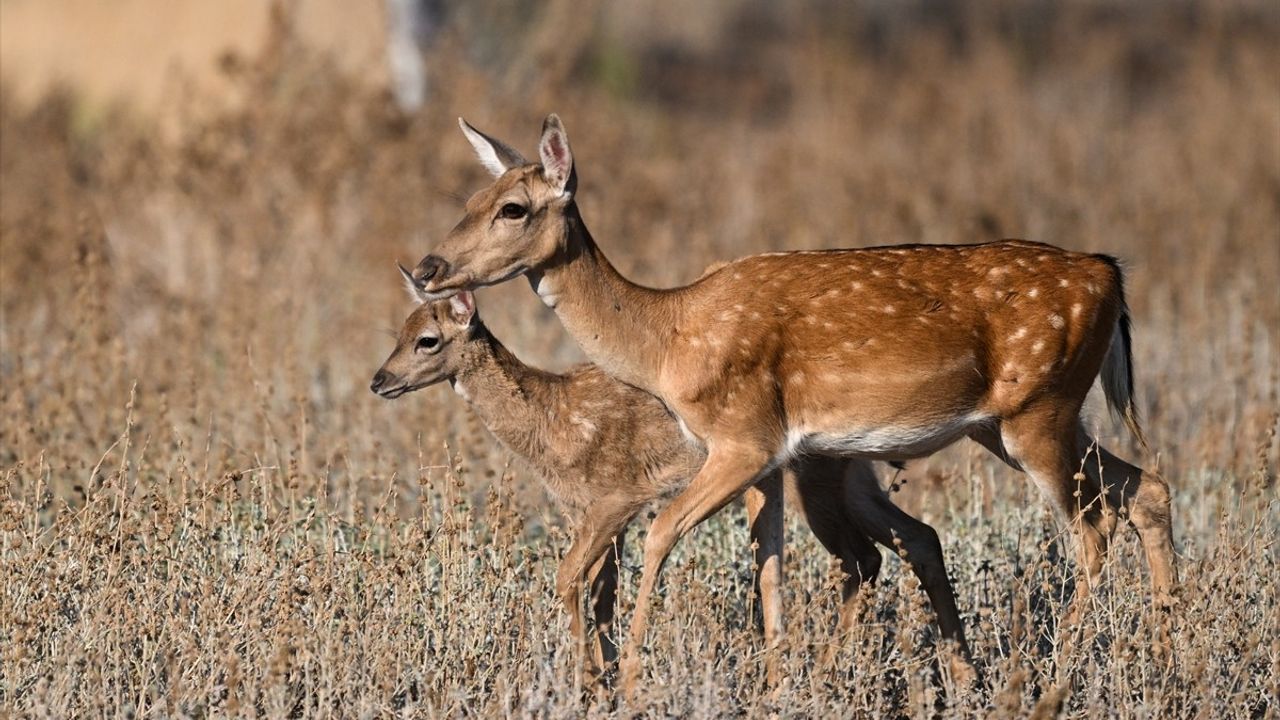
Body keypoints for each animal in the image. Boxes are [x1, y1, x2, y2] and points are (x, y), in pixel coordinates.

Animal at [373, 280, 967, 681]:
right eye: (397, 332)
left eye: (428, 340)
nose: (380, 380)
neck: (553, 425)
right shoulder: (591, 510)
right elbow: (601, 591)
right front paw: (605, 678)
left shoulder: (620, 497)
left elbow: (570, 578)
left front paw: (588, 683)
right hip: (853, 473)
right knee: (916, 537)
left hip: (813, 475)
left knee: (863, 556)